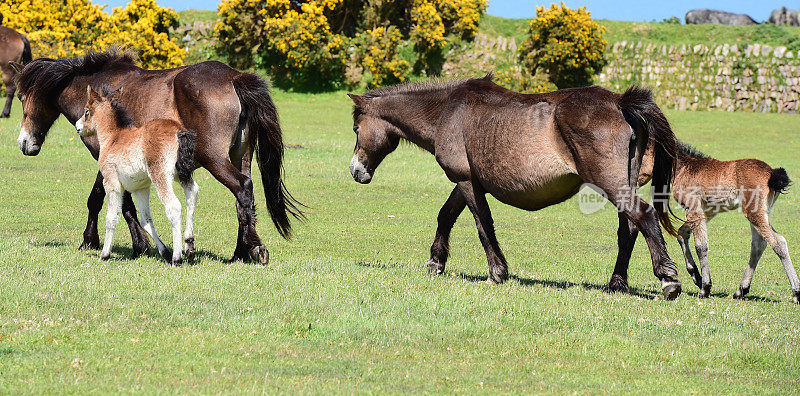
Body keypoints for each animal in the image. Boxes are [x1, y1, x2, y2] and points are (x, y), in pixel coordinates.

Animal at [75, 86, 198, 266]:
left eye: (86, 111)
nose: (78, 127)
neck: (113, 138)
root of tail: (179, 131)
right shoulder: (141, 188)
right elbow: (146, 220)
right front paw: (164, 252)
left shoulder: (111, 183)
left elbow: (111, 218)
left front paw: (105, 254)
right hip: (181, 174)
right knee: (193, 193)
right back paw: (189, 245)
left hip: (160, 175)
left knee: (173, 206)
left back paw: (177, 257)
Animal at [346, 74, 684, 298]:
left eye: (356, 128)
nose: (355, 170)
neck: (446, 111)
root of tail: (619, 102)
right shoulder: (467, 180)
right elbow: (446, 216)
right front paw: (436, 262)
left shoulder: (466, 181)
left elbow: (483, 224)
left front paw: (497, 272)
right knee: (629, 229)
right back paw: (616, 284)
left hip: (610, 184)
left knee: (643, 216)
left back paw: (668, 279)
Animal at [636, 142, 800, 304]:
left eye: (640, 154)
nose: (634, 180)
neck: (684, 168)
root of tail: (772, 172)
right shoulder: (706, 213)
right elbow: (682, 234)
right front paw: (696, 276)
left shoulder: (694, 209)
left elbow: (701, 246)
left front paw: (705, 288)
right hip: (760, 213)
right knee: (758, 245)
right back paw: (741, 290)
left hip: (754, 213)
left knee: (778, 242)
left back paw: (796, 293)